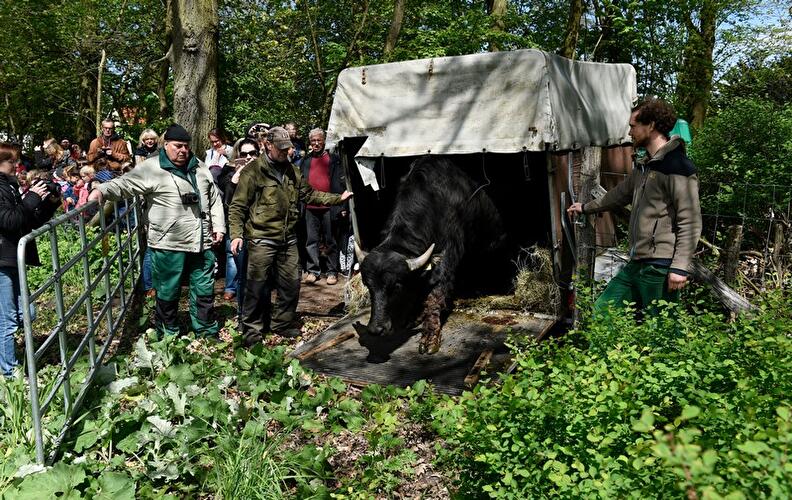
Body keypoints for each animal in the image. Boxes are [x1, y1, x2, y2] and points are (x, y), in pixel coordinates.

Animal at [355, 156, 505, 355]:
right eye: (367, 285)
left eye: (396, 287)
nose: (376, 329)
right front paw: (414, 316)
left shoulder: (446, 254)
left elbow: (434, 295)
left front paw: (430, 337)